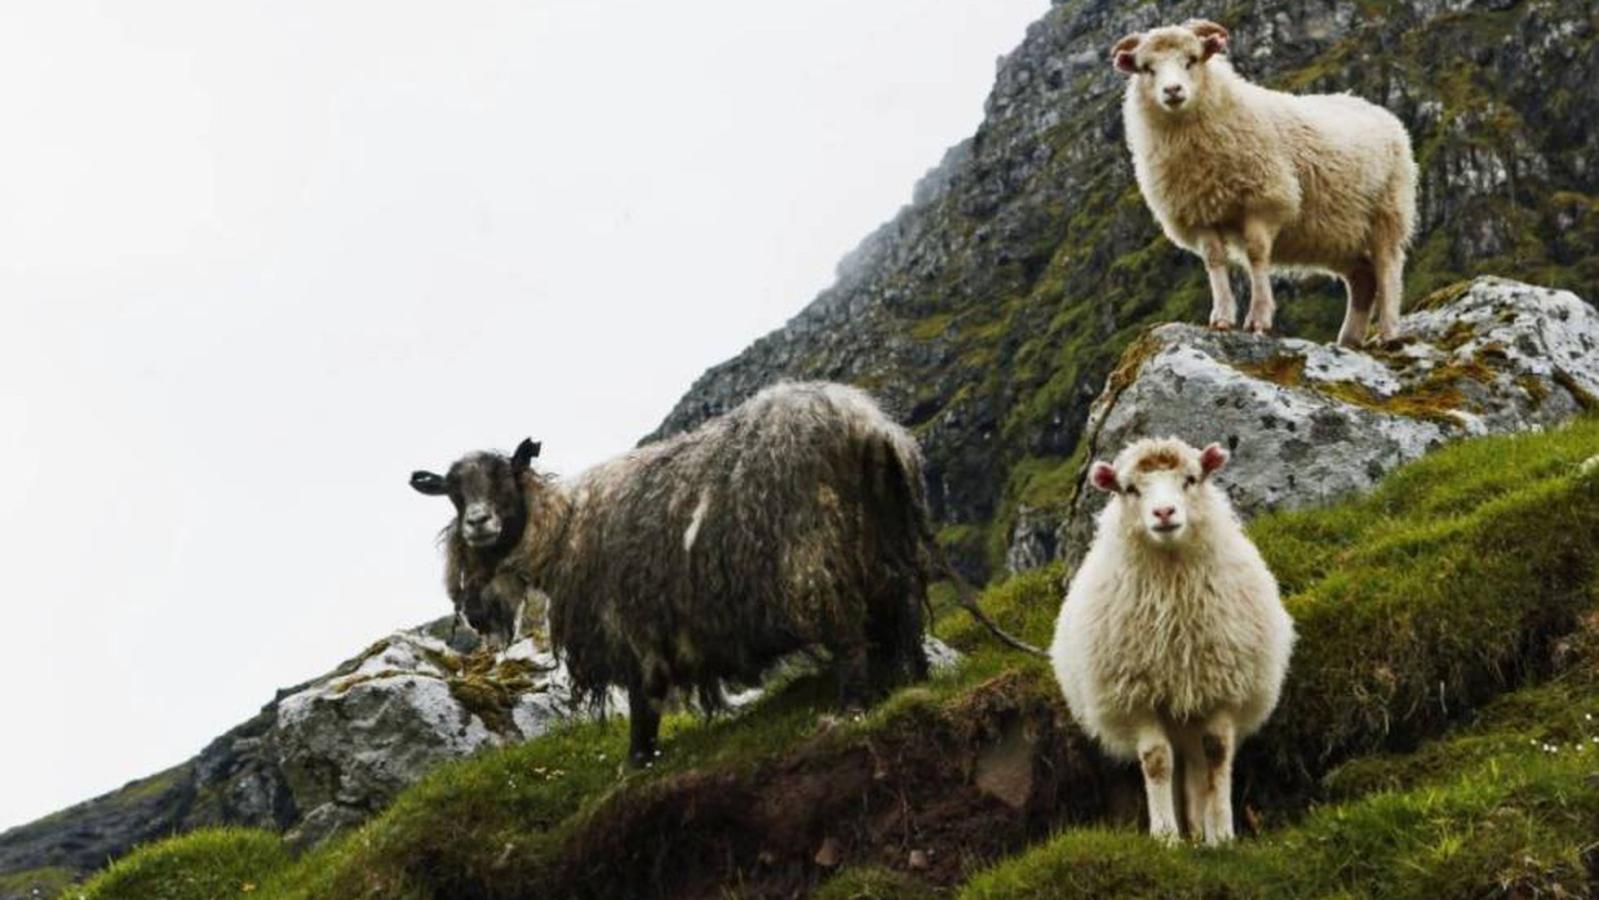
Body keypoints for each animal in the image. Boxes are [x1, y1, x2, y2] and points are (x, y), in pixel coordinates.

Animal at [411, 382, 1042, 767]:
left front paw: (638, 761)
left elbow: (644, 701)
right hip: (889, 553)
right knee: (903, 619)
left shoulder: (631, 627)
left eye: (505, 476)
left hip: (814, 557)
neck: (565, 527)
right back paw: (915, 679)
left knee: (848, 639)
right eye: (452, 493)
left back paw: (850, 709)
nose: (478, 524)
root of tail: (871, 428)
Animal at [1050, 437, 1295, 844]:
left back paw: (1200, 830)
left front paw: (1222, 835)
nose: (1164, 512)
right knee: (1178, 762)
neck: (1172, 587)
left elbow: (1217, 754)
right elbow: (1157, 760)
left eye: (1191, 479)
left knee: (1196, 762)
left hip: (1191, 709)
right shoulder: (1137, 695)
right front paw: (1165, 838)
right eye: (1130, 489)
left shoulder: (1221, 687)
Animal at [1113, 19, 1418, 348]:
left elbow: (1256, 255)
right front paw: (1221, 318)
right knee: (1363, 277)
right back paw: (1348, 340)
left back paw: (1388, 333)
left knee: (1388, 269)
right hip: (1336, 234)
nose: (1172, 91)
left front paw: (1258, 319)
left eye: (1192, 59)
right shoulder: (1199, 212)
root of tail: (1372, 107)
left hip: (1388, 212)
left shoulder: (1264, 200)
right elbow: (1214, 260)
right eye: (1147, 68)